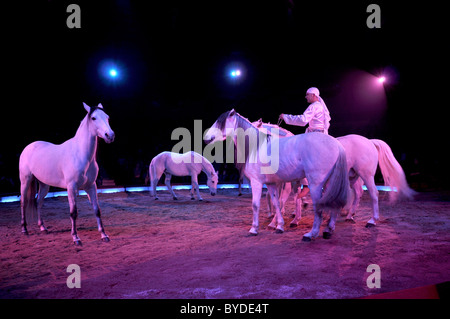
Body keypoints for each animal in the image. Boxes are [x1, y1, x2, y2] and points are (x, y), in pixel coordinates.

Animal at [19, 102, 115, 245]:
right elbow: (73, 212)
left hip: (44, 185)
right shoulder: (71, 187)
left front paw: (104, 235)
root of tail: (29, 147)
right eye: (93, 118)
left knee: (38, 202)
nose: (110, 135)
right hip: (25, 180)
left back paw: (43, 227)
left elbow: (97, 210)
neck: (81, 154)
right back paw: (24, 229)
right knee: (24, 202)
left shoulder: (91, 186)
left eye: (107, 117)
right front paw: (76, 238)